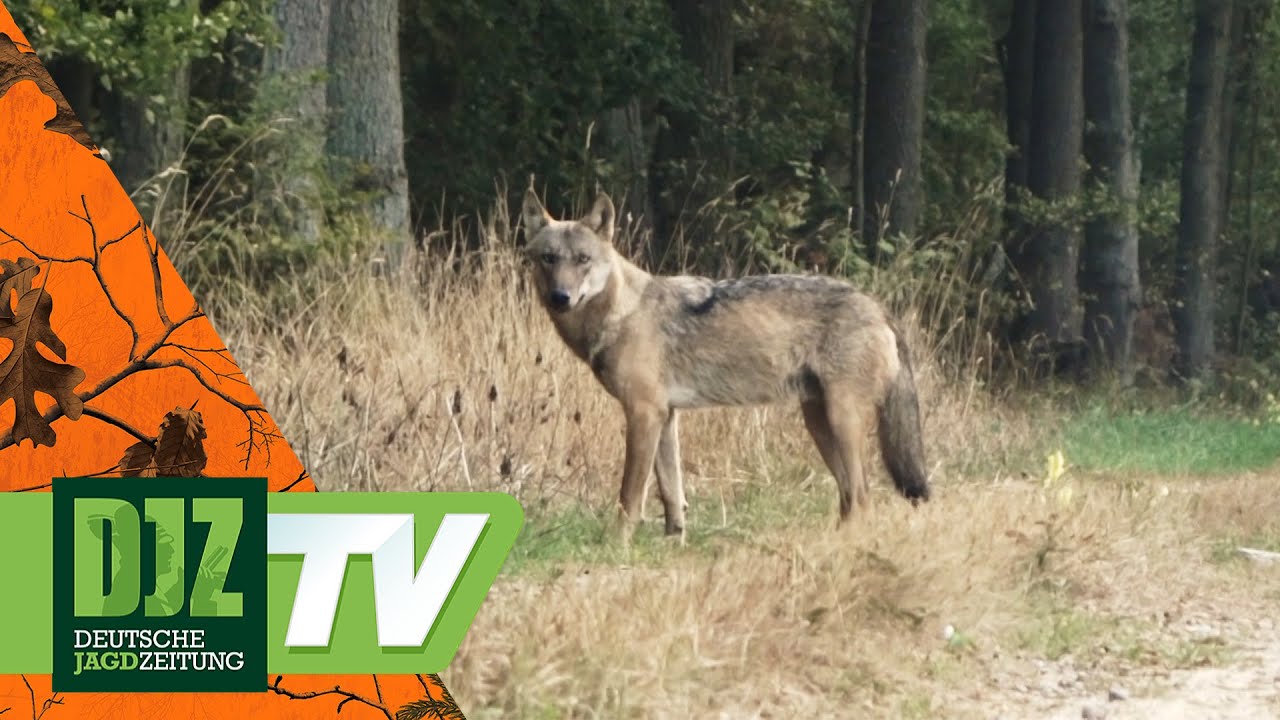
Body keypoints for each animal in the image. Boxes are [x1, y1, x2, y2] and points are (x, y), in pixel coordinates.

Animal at [521, 188, 930, 540]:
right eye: (549, 259)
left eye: (583, 260)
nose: (561, 297)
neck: (621, 312)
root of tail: (877, 305)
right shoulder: (665, 416)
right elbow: (673, 496)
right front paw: (673, 545)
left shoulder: (643, 413)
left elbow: (629, 498)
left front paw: (616, 546)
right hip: (819, 424)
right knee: (849, 497)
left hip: (841, 420)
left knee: (861, 497)